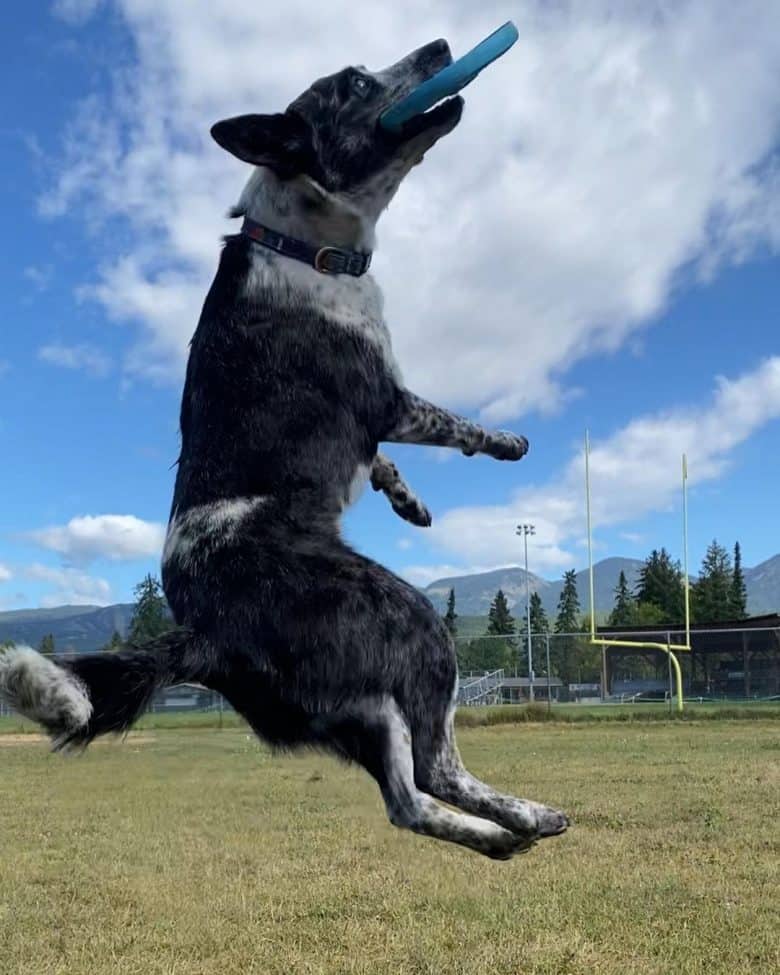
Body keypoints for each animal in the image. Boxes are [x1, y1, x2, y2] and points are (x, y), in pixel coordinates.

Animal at [0, 38, 568, 860]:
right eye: (357, 83)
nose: (439, 47)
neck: (302, 243)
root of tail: (208, 633)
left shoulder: (370, 430)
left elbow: (381, 459)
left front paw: (408, 499)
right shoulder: (386, 398)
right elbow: (452, 422)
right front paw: (505, 441)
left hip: (350, 705)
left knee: (407, 798)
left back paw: (501, 832)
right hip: (409, 628)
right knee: (431, 769)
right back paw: (523, 817)